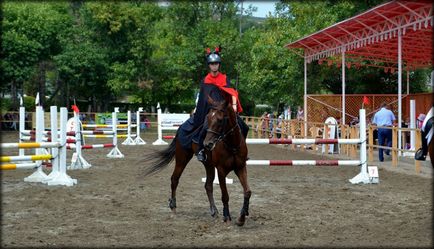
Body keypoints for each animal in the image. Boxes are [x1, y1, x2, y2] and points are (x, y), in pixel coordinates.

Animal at [142, 95, 251, 226]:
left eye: (220, 120)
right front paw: (226, 216)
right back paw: (173, 207)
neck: (231, 145)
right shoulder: (221, 171)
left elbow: (247, 192)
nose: (207, 144)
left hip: (208, 165)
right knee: (174, 179)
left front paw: (242, 217)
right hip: (182, 159)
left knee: (208, 185)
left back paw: (214, 211)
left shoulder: (240, 167)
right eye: (207, 118)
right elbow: (225, 195)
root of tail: (181, 127)